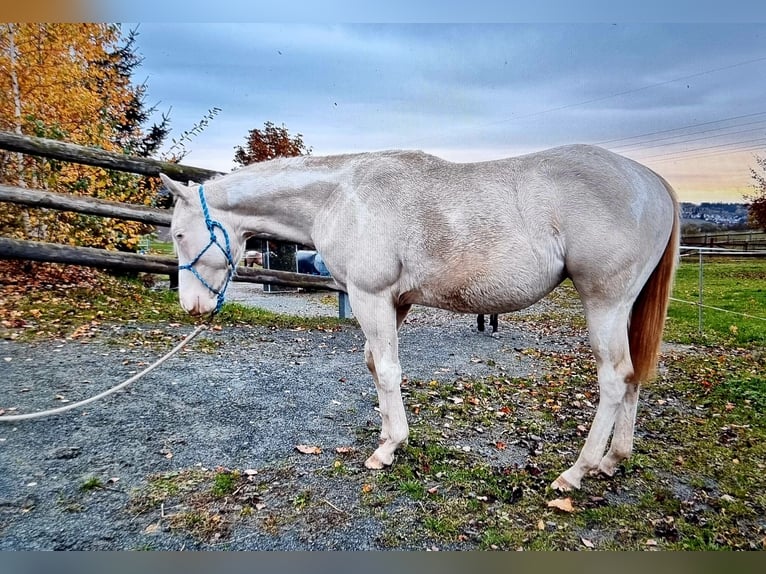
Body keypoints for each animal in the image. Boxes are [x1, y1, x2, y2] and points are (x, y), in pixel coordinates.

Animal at [160, 144, 680, 490]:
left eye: (180, 234)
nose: (192, 306)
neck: (341, 195)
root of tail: (653, 181)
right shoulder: (396, 302)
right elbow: (375, 365)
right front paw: (389, 434)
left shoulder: (371, 297)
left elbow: (389, 371)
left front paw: (388, 449)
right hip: (623, 309)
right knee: (632, 377)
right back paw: (614, 460)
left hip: (604, 303)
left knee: (613, 379)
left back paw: (576, 473)